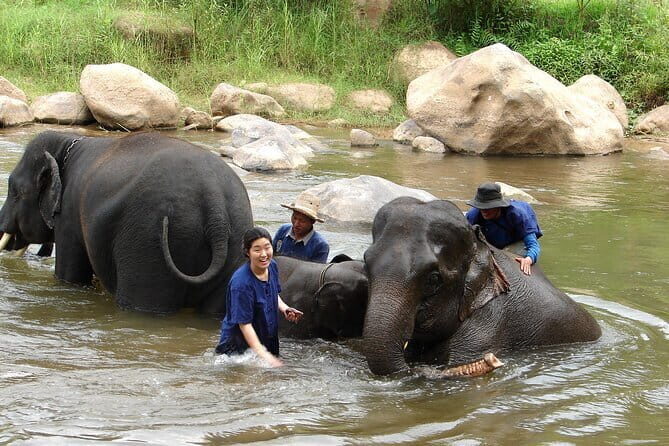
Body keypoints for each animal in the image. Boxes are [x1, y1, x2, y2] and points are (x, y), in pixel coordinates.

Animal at [0, 131, 253, 314]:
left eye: (15, 191)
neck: (67, 141)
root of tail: (214, 202)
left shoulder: (70, 215)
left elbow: (70, 274)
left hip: (147, 243)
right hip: (236, 241)